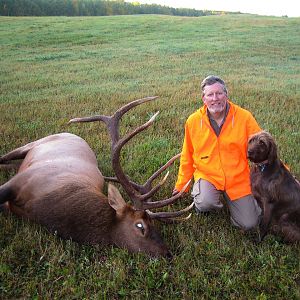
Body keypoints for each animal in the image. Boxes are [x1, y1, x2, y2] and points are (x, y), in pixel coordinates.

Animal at [0, 97, 192, 256]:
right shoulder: (18, 182)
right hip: (33, 144)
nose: (168, 253)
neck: (42, 208)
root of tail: (71, 133)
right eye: (140, 225)